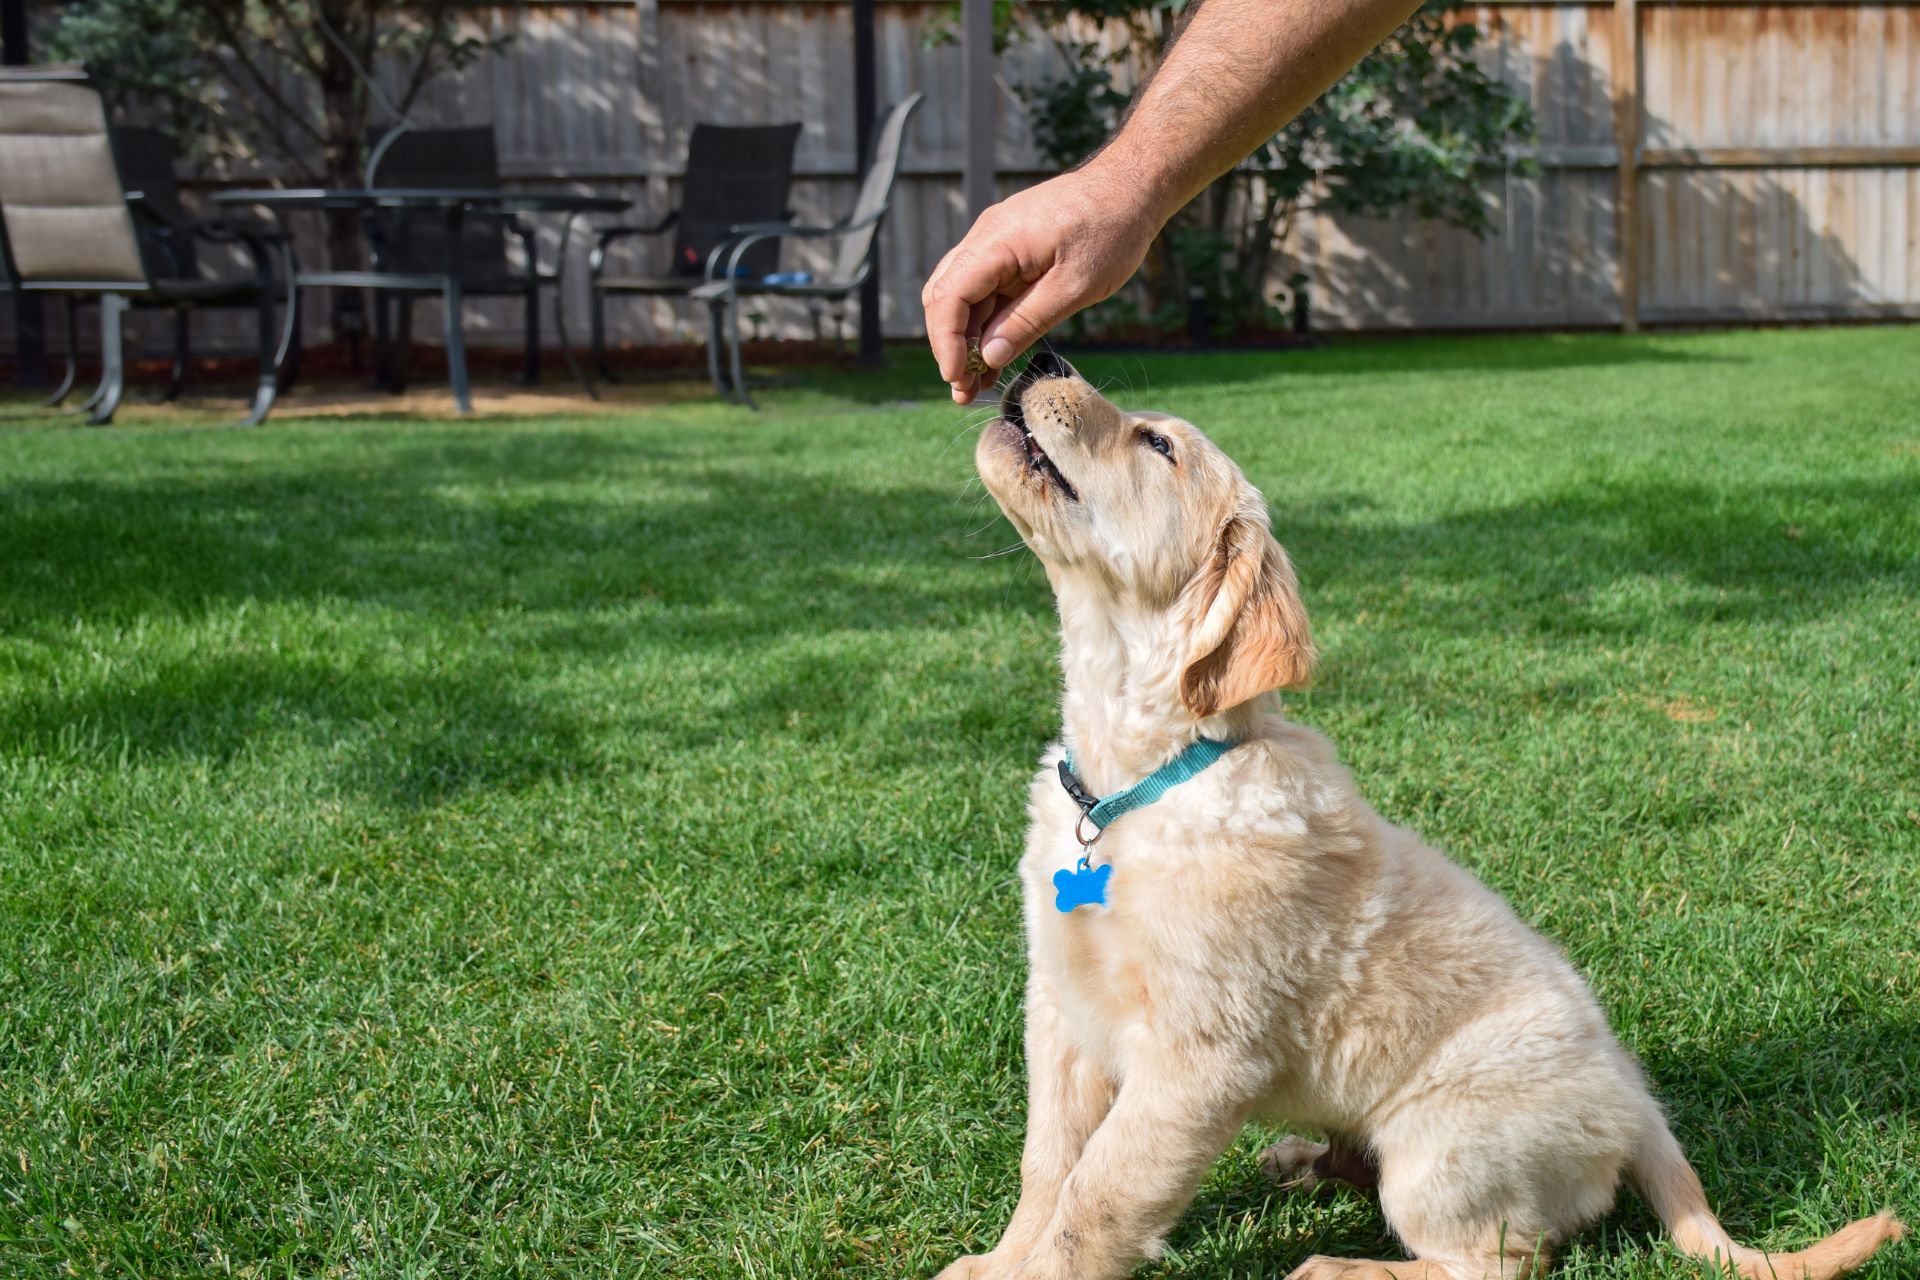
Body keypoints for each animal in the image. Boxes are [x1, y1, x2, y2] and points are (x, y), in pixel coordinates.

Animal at [936, 355, 1896, 1280]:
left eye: (1158, 444)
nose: (1042, 357)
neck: (1137, 782)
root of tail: (1640, 1108)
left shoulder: (1198, 1056)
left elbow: (1097, 1198)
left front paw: (1033, 1271)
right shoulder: (1061, 1009)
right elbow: (1049, 1165)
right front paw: (999, 1260)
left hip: (1439, 1150)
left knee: (1501, 1260)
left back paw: (1340, 1267)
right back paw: (1302, 1161)